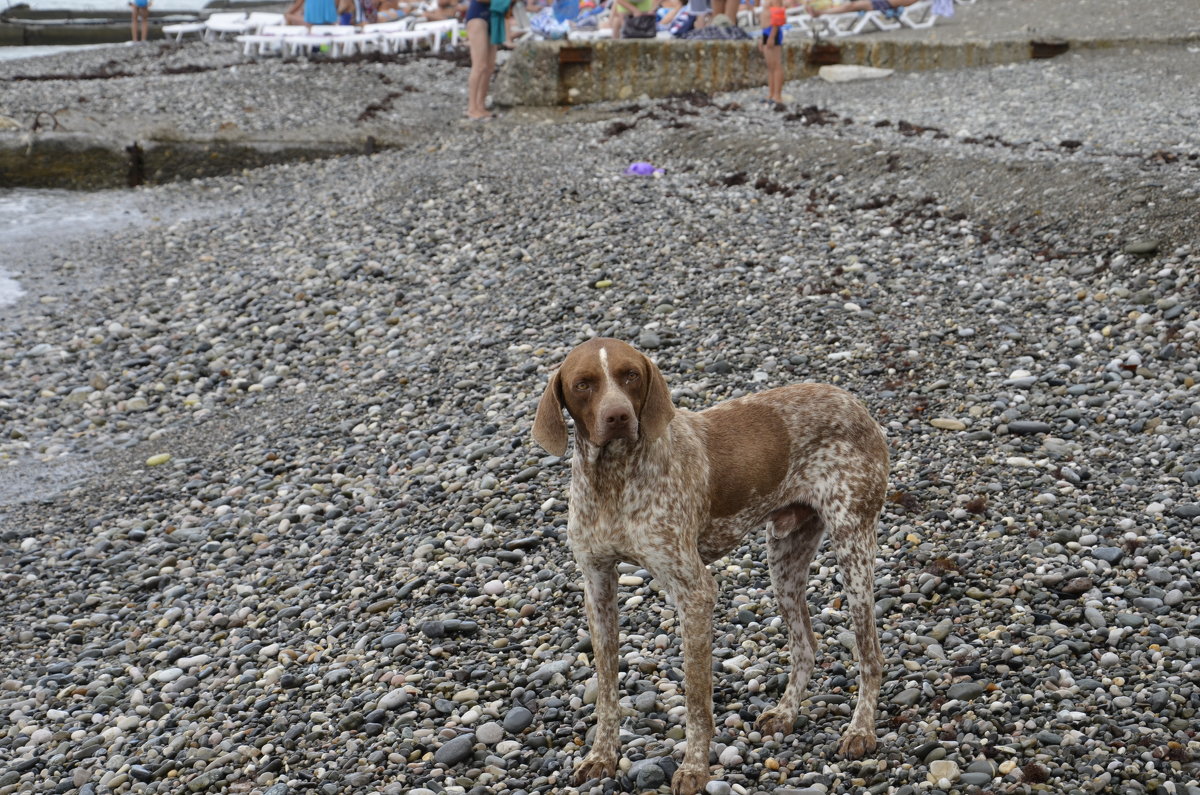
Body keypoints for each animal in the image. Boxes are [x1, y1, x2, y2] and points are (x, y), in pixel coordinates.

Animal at [530, 338, 888, 795]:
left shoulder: (695, 591)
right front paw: (601, 756)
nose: (618, 416)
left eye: (631, 375)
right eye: (583, 384)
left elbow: (697, 698)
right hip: (784, 559)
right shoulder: (597, 586)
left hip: (853, 551)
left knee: (870, 655)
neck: (612, 479)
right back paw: (786, 712)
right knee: (805, 644)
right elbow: (607, 690)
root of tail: (853, 401)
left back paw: (861, 730)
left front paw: (695, 768)